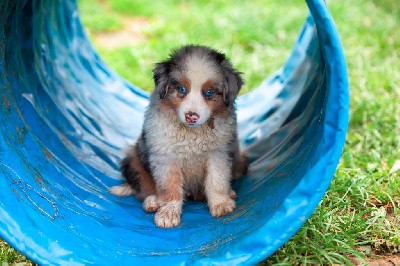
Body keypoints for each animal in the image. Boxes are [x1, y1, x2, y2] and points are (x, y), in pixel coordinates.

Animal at [109, 44, 247, 228]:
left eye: (209, 93)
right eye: (182, 89)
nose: (191, 116)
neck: (191, 134)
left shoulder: (218, 153)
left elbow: (216, 180)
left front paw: (221, 205)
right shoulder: (165, 157)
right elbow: (170, 188)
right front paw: (167, 214)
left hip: (239, 161)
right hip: (132, 159)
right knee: (144, 188)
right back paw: (153, 201)